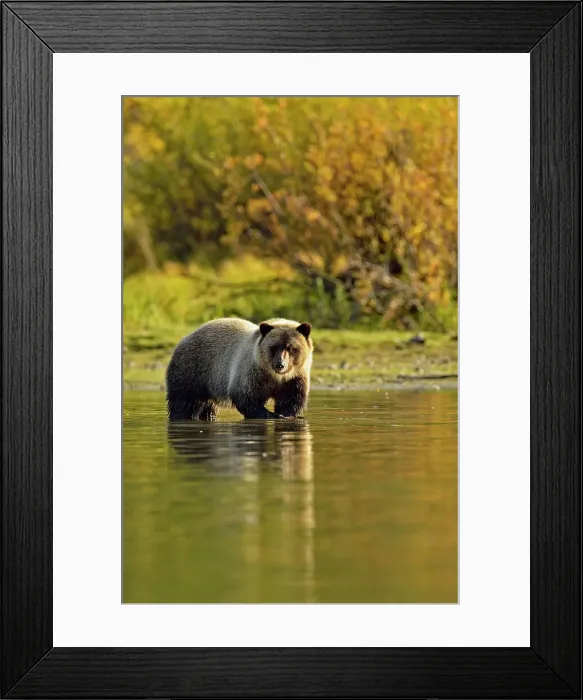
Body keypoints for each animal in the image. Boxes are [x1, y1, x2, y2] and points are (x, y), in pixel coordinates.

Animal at [166, 317, 313, 421]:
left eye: (291, 348)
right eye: (274, 347)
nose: (280, 364)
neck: (275, 376)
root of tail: (184, 338)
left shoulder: (295, 378)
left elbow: (291, 399)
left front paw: (286, 414)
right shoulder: (252, 372)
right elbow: (246, 397)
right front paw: (270, 414)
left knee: (206, 406)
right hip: (193, 369)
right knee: (183, 400)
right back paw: (180, 416)